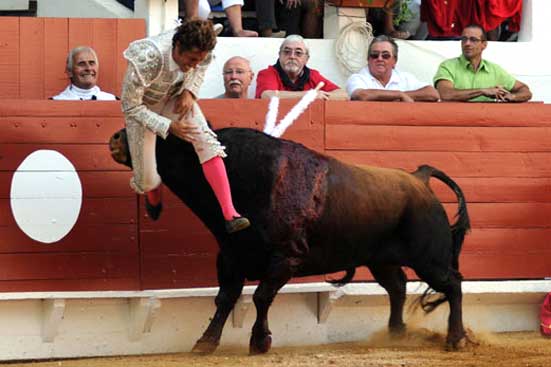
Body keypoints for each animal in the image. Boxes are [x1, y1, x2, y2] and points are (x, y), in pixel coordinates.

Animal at [110, 126, 472, 354]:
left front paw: (260, 341)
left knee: (452, 284)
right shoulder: (229, 257)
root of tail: (418, 178)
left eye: (158, 132)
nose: (115, 138)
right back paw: (396, 334)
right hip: (380, 260)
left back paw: (455, 339)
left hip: (429, 259)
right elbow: (225, 299)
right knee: (397, 287)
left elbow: (260, 296)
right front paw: (206, 342)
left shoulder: (285, 258)